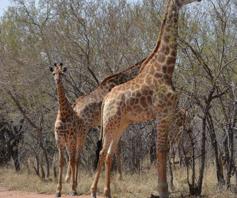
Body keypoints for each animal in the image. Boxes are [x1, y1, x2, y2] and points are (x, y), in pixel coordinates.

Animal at [49, 63, 84, 196]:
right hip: (69, 143)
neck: (63, 113)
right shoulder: (59, 140)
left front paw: (73, 189)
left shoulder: (71, 139)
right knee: (71, 159)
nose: (57, 80)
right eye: (54, 73)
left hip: (79, 141)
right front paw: (58, 190)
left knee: (76, 160)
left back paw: (75, 187)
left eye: (62, 73)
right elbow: (61, 162)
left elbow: (73, 161)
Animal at [90, 0, 202, 197]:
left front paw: (165, 189)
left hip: (121, 124)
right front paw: (163, 190)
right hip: (111, 122)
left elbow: (165, 150)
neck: (165, 70)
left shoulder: (168, 114)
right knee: (103, 151)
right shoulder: (162, 113)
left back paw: (107, 192)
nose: (198, 1)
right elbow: (161, 149)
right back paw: (94, 191)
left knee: (110, 153)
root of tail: (106, 99)